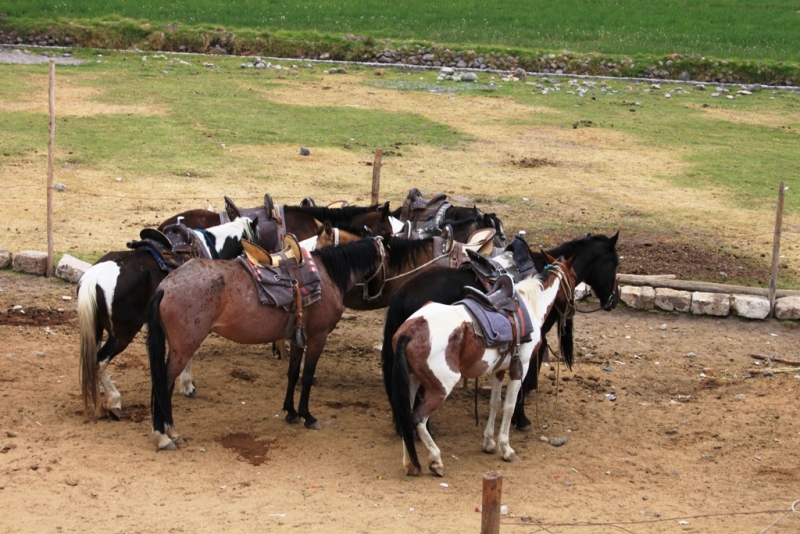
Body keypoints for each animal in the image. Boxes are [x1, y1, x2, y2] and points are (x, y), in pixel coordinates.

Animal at [76, 216, 255, 420]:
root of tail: (92, 278)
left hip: (97, 329)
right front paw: (187, 385)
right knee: (99, 362)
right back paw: (114, 400)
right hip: (122, 334)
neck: (210, 246)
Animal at [148, 237, 390, 450]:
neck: (328, 275)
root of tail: (165, 286)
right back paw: (165, 435)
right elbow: (307, 377)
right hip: (184, 348)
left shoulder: (298, 337)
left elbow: (293, 373)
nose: (378, 296)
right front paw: (308, 416)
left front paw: (291, 412)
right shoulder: (317, 337)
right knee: (164, 384)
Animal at [382, 232, 620, 434]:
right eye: (615, 262)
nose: (613, 300)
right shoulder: (531, 343)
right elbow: (524, 378)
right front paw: (521, 418)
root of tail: (403, 293)